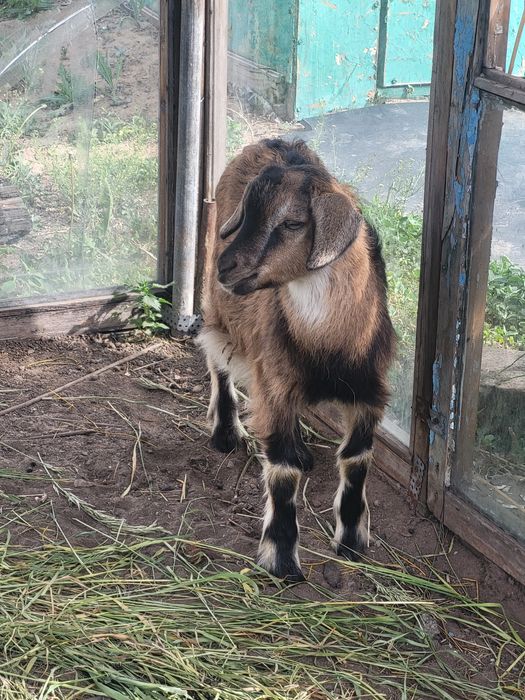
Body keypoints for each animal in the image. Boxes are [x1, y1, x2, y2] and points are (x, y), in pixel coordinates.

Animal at [197, 138, 395, 581]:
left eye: (292, 223)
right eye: (247, 213)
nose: (226, 266)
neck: (328, 346)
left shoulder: (369, 391)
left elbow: (357, 459)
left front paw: (352, 543)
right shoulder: (274, 385)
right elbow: (282, 471)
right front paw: (282, 559)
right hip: (218, 308)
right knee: (217, 357)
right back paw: (225, 432)